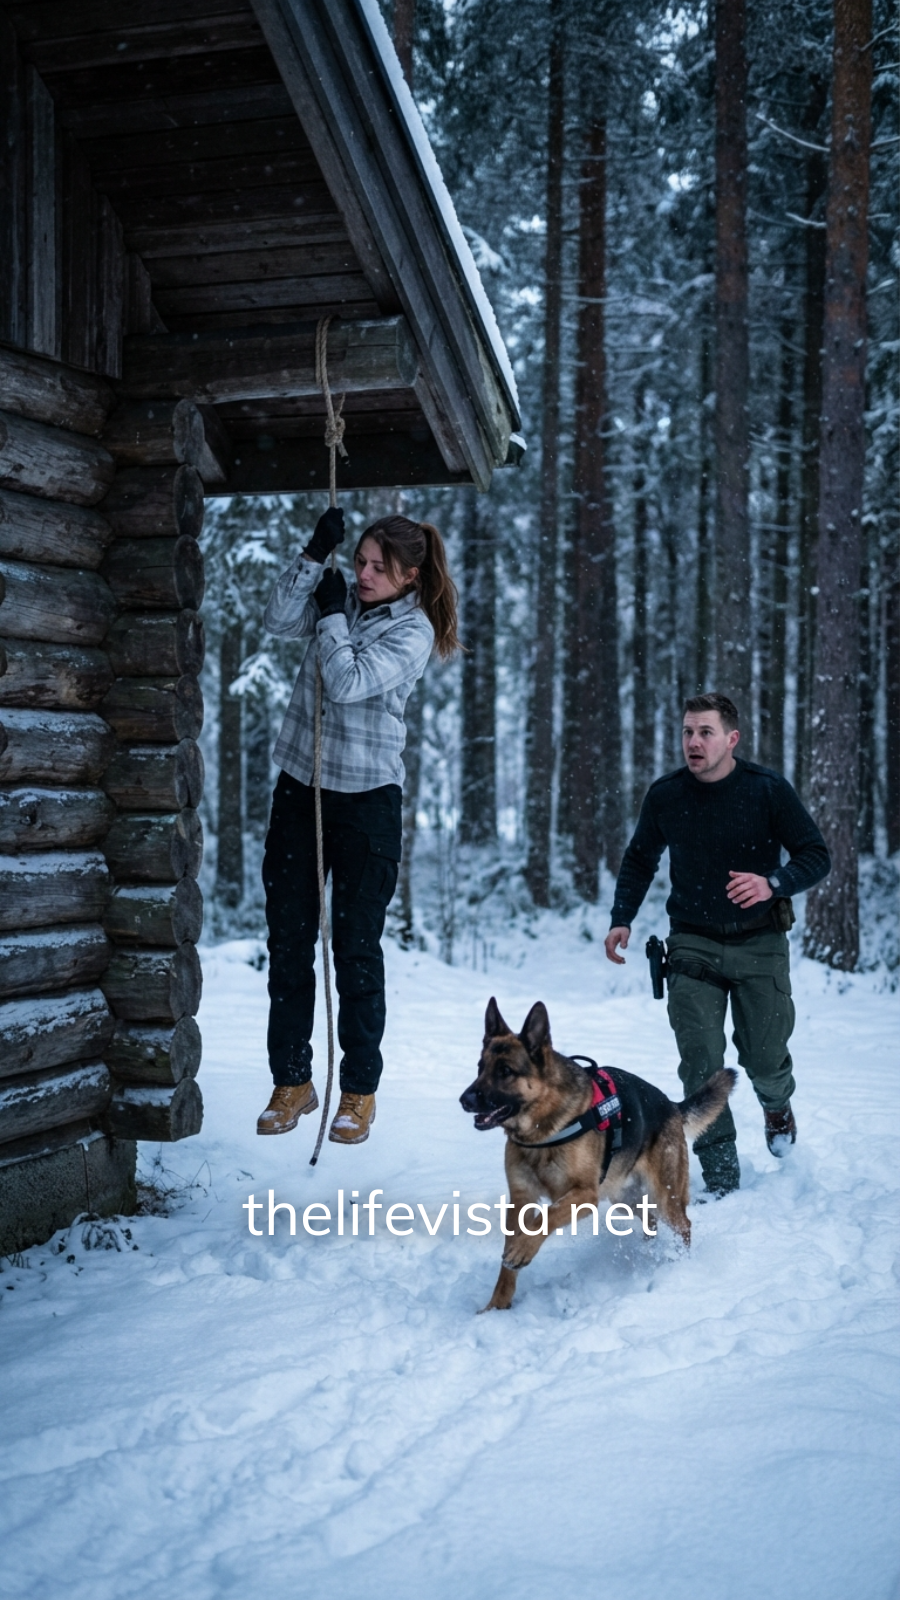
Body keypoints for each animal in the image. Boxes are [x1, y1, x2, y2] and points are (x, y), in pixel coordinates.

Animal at [460, 997, 737, 1311]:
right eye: (480, 1067)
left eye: (505, 1071)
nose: (464, 1100)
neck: (543, 1131)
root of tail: (672, 1106)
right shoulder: (521, 1200)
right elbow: (511, 1255)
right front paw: (496, 1306)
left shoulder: (584, 1196)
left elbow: (544, 1218)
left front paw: (521, 1251)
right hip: (626, 1199)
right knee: (650, 1222)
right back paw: (648, 1256)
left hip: (665, 1198)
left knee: (684, 1226)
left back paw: (680, 1265)